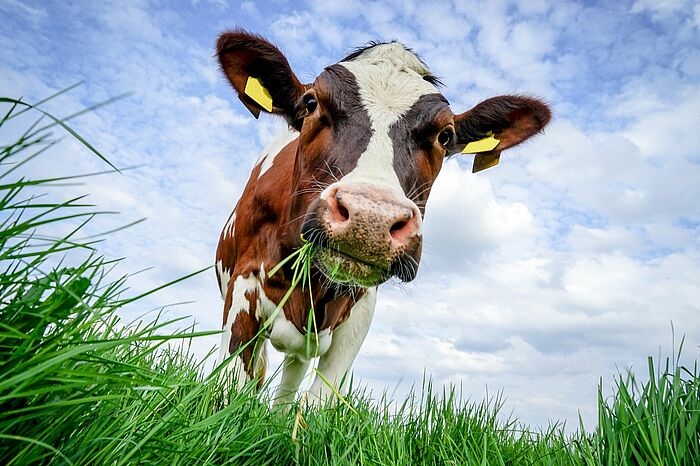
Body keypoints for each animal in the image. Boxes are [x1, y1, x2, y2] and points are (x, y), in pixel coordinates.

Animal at [213, 30, 548, 408]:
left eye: (445, 135)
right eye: (312, 103)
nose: (369, 219)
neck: (312, 285)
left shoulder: (361, 310)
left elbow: (319, 401)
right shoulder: (243, 285)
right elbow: (234, 388)